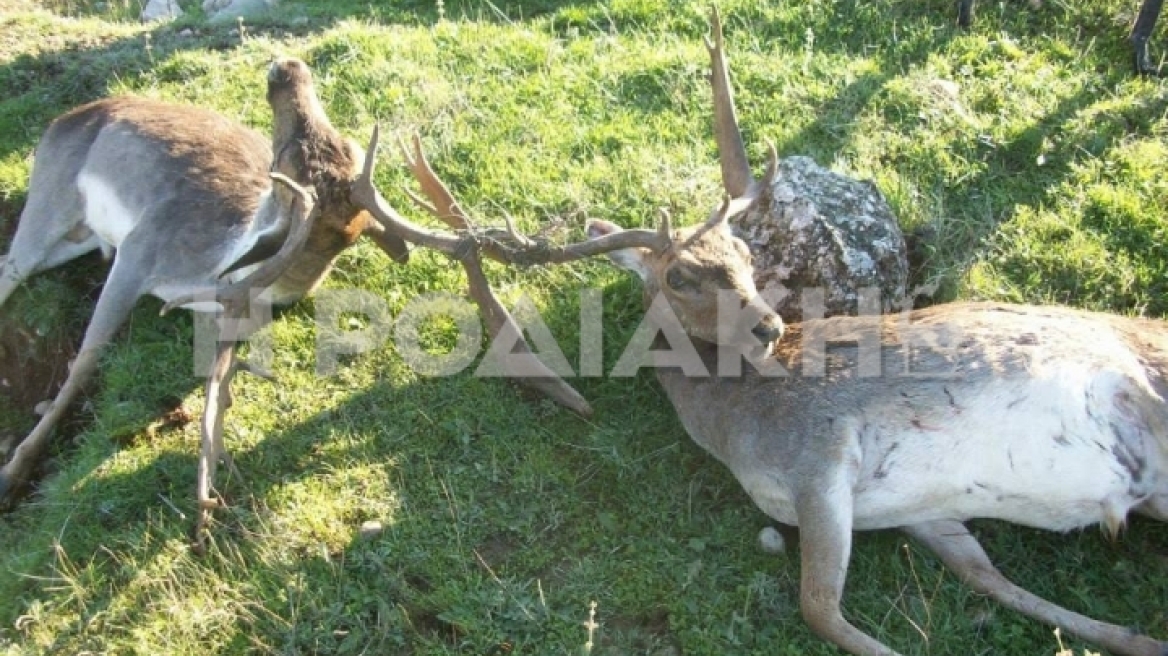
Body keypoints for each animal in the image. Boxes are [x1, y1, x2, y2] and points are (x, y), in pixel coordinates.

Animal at [343, 10, 1158, 653]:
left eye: (742, 248)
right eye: (679, 276)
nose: (770, 324)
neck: (738, 432)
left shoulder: (822, 449)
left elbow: (825, 611)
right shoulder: (903, 503)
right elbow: (973, 578)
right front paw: (1137, 637)